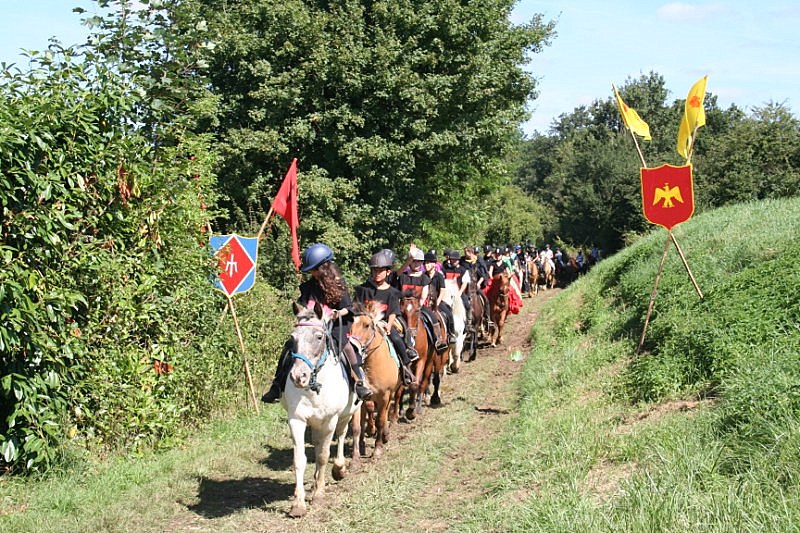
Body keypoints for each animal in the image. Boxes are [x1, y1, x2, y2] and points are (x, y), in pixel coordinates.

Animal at [280, 302, 358, 516]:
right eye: (292, 338)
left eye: (319, 337)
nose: (299, 377)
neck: (315, 386)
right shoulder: (296, 420)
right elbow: (300, 458)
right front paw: (298, 504)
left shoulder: (330, 419)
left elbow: (323, 456)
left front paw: (319, 494)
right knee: (316, 443)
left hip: (346, 414)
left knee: (341, 435)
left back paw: (339, 469)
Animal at [348, 304, 400, 462]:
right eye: (350, 325)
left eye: (366, 325)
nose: (353, 345)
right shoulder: (359, 397)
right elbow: (357, 425)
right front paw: (356, 456)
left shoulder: (384, 396)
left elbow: (381, 421)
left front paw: (377, 450)